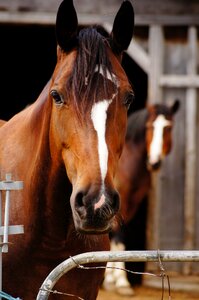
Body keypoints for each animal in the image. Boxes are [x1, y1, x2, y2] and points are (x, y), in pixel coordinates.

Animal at [102, 100, 180, 296]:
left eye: (168, 127)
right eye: (150, 126)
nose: (154, 162)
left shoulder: (131, 205)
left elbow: (118, 238)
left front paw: (112, 279)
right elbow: (118, 238)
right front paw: (120, 282)